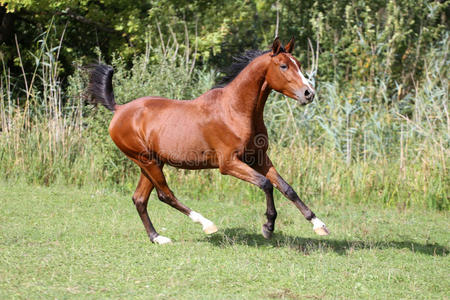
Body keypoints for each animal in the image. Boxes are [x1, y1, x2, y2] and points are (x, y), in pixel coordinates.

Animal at [88, 37, 328, 244]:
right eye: (283, 66)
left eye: (298, 64)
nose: (309, 93)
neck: (235, 110)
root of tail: (119, 109)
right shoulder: (228, 164)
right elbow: (266, 184)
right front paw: (268, 227)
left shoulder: (259, 158)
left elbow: (287, 188)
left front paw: (319, 225)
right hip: (146, 160)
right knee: (165, 194)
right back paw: (207, 224)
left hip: (152, 162)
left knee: (140, 199)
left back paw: (158, 238)